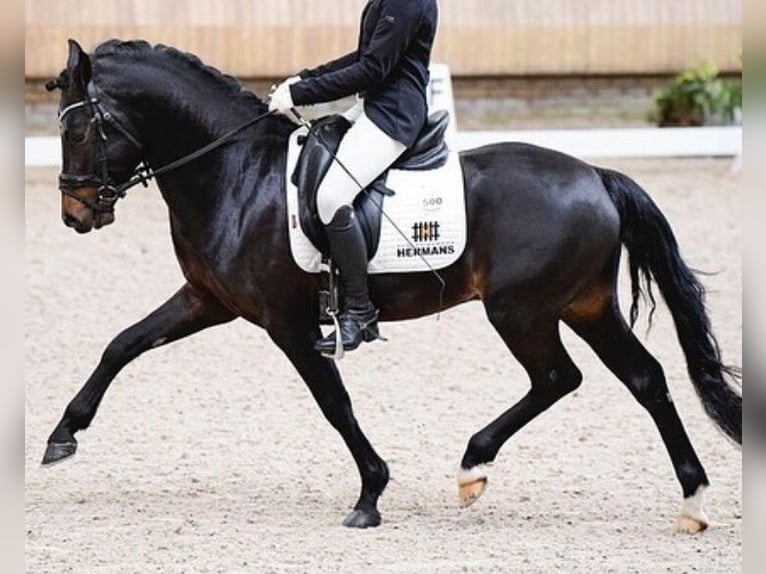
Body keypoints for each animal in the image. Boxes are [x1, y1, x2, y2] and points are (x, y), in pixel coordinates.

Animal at [43, 39, 744, 532]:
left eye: (75, 129)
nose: (75, 215)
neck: (235, 172)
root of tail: (597, 175)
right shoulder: (209, 300)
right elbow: (123, 343)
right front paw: (62, 436)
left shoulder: (286, 323)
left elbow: (335, 402)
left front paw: (370, 493)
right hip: (585, 305)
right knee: (645, 378)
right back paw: (693, 502)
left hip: (521, 310)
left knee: (558, 377)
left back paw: (472, 467)